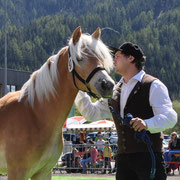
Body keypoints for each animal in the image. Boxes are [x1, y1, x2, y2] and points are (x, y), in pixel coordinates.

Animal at [0, 26, 114, 179]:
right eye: (80, 58)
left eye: (101, 58)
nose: (108, 85)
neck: (35, 115)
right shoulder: (17, 172)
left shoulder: (44, 172)